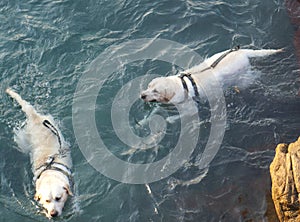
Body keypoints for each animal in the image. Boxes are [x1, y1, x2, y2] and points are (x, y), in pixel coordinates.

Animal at [140, 47, 282, 104]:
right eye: (148, 86)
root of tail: (242, 51)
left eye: (156, 91)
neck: (182, 84)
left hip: (244, 78)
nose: (142, 95)